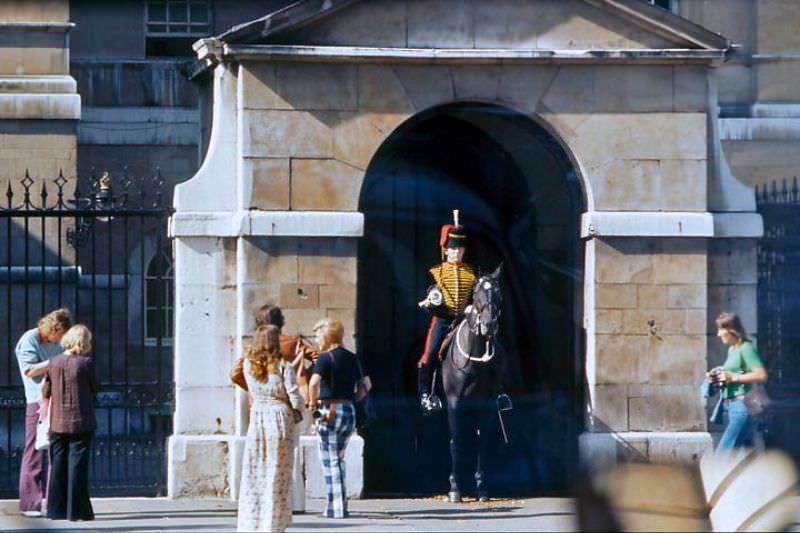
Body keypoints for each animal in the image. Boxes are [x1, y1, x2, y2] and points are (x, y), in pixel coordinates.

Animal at [440, 264, 504, 500]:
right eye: (476, 294)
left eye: (498, 293)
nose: (489, 325)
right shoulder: (454, 402)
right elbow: (456, 442)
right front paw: (454, 487)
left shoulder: (486, 405)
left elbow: (482, 443)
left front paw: (481, 486)